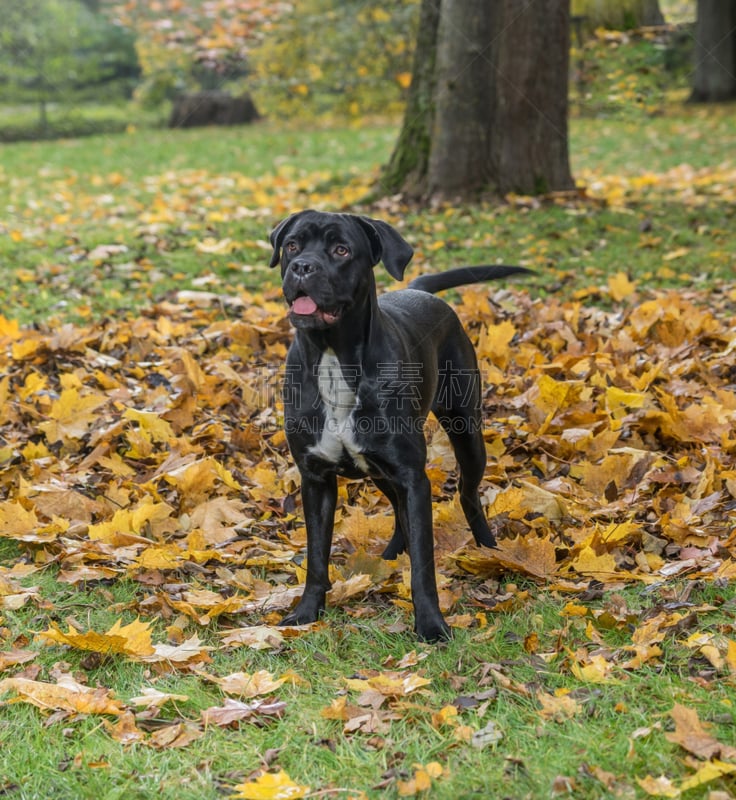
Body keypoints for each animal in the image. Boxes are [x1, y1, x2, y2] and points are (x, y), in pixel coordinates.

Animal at [270, 209, 528, 640]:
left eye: (341, 250)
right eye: (292, 245)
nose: (302, 266)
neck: (331, 356)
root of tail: (419, 290)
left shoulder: (412, 476)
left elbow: (424, 564)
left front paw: (432, 625)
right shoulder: (316, 478)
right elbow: (316, 556)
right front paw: (306, 612)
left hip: (466, 431)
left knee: (468, 494)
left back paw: (490, 551)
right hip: (380, 471)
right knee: (397, 509)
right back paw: (393, 552)